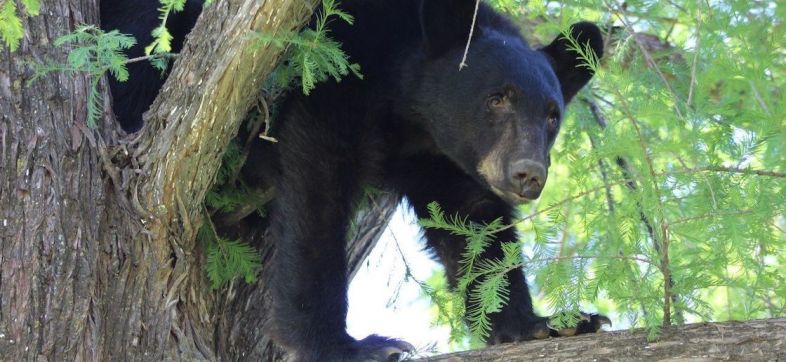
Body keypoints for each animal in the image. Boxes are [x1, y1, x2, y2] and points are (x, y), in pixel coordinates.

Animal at [101, 0, 608, 360]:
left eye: (552, 115)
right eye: (497, 98)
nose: (528, 173)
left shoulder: (441, 157)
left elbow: (474, 226)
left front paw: (542, 323)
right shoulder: (335, 69)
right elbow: (316, 192)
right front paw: (350, 345)